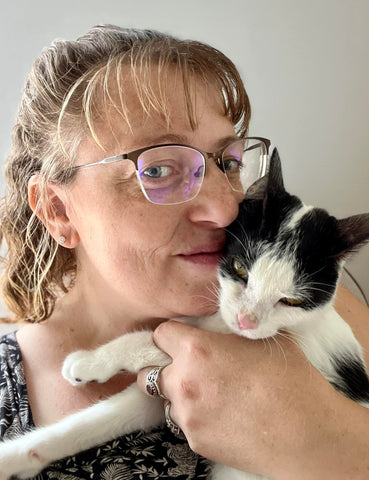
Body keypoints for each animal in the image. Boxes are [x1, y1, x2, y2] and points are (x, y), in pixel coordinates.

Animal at [0, 150, 368, 480]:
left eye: (291, 300)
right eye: (240, 268)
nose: (246, 321)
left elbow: (160, 336)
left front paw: (90, 361)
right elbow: (99, 419)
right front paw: (17, 457)